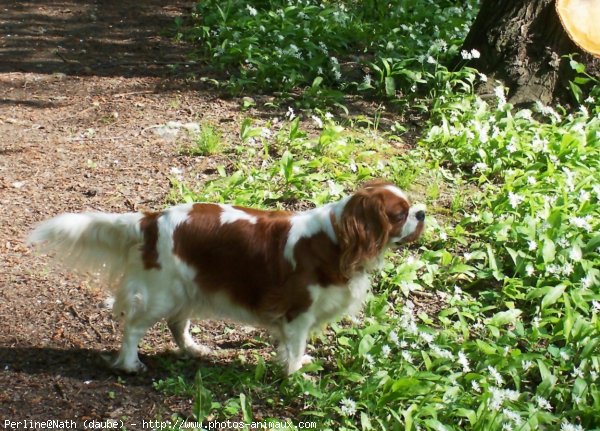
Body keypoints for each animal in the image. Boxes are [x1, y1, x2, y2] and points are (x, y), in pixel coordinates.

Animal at [28, 180, 424, 374]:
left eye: (410, 208)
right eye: (399, 213)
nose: (422, 212)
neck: (338, 239)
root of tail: (150, 219)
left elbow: (294, 347)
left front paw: (296, 365)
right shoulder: (297, 311)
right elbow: (295, 347)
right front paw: (297, 376)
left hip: (189, 287)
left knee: (177, 325)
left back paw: (193, 350)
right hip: (161, 292)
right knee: (134, 327)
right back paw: (129, 365)